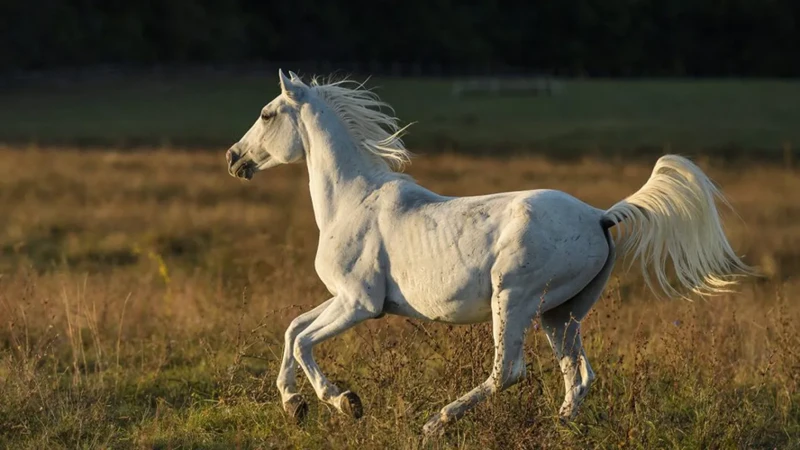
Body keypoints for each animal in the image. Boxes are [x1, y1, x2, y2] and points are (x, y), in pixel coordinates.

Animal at [227, 70, 756, 436]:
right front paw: (294, 404)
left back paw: (436, 423)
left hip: (514, 299)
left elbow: (302, 340)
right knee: (579, 375)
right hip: (561, 314)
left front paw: (341, 402)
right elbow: (292, 329)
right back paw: (559, 429)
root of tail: (599, 216)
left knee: (509, 372)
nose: (234, 158)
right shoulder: (346, 299)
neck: (352, 199)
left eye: (268, 114)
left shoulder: (359, 304)